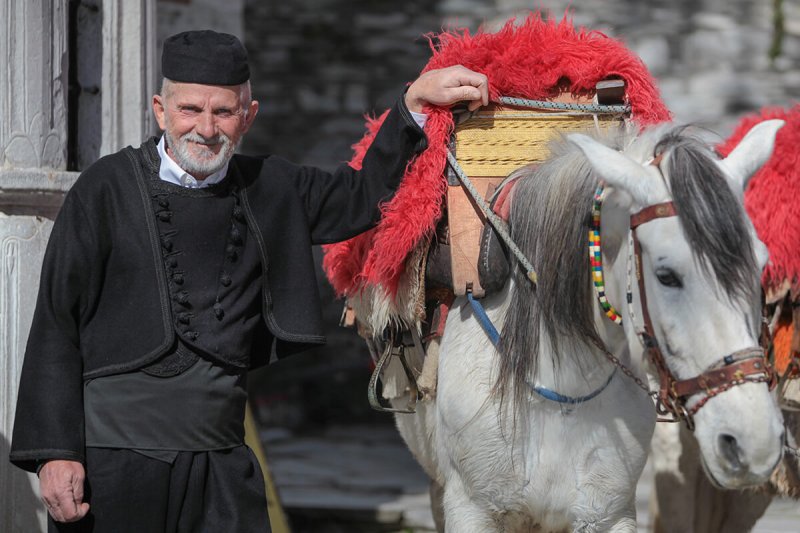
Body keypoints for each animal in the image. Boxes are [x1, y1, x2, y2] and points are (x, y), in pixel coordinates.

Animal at [374, 118, 780, 528]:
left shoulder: (608, 511)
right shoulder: (471, 508)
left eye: (761, 265)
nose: (753, 442)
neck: (562, 388)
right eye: (666, 275)